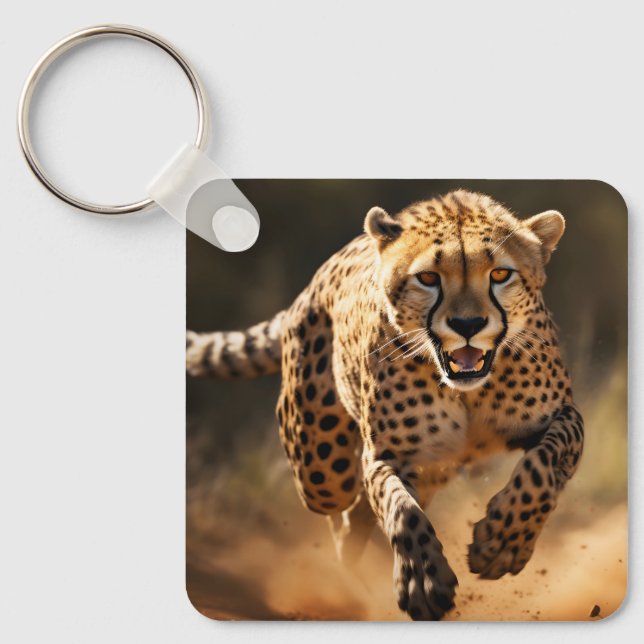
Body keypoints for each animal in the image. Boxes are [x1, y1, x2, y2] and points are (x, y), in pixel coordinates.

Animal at [186, 189, 584, 621]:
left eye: (499, 275)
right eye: (428, 278)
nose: (468, 324)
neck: (467, 389)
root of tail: (308, 289)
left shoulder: (562, 417)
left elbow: (541, 468)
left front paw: (503, 542)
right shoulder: (388, 455)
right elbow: (401, 511)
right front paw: (423, 582)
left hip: (427, 471)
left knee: (362, 508)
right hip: (322, 470)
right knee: (345, 504)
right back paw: (344, 568)